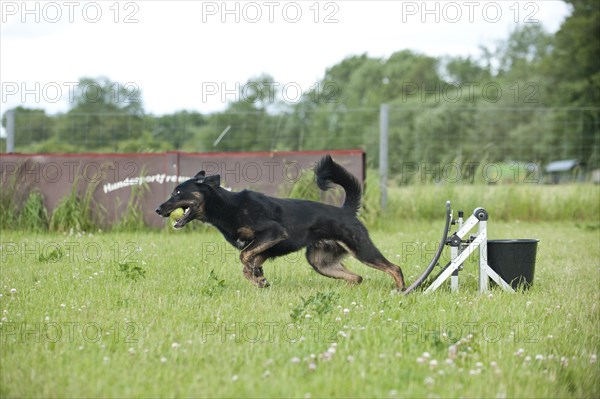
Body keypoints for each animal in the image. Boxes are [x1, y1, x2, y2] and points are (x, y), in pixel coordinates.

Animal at [156, 155, 408, 290]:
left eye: (178, 192)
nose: (158, 209)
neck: (227, 207)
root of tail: (345, 210)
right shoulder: (264, 248)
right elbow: (247, 264)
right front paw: (259, 279)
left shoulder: (273, 233)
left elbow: (244, 257)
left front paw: (258, 279)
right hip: (320, 262)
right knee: (357, 277)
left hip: (361, 249)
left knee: (394, 267)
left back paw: (401, 290)